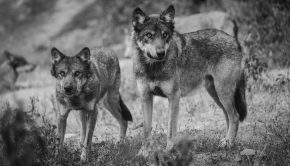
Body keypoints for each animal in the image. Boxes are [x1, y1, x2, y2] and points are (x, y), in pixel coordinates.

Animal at [131, 5, 247, 150]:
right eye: (149, 35)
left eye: (165, 35)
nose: (161, 53)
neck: (152, 67)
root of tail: (234, 40)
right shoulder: (146, 97)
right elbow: (146, 130)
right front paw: (144, 152)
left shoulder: (174, 96)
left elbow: (170, 129)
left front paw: (168, 150)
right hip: (216, 94)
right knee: (228, 117)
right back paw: (226, 142)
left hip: (223, 93)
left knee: (235, 116)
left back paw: (229, 142)